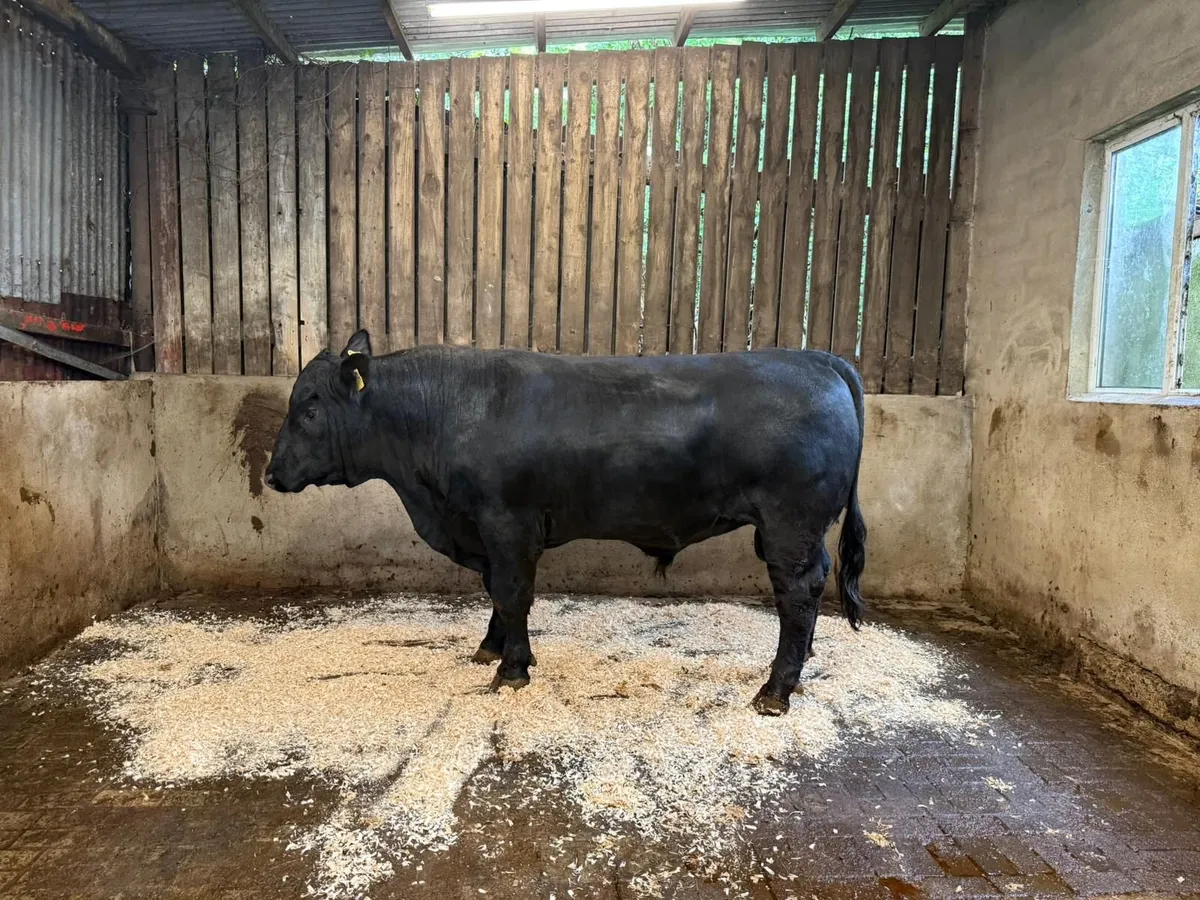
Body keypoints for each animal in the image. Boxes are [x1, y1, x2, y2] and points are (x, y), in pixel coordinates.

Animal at [264, 330, 867, 716]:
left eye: (310, 410)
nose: (270, 474)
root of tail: (817, 360)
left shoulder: (506, 522)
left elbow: (511, 592)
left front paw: (511, 670)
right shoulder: (486, 530)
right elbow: (496, 591)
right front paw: (494, 648)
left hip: (789, 522)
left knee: (797, 591)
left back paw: (776, 690)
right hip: (797, 528)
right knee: (813, 584)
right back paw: (803, 661)